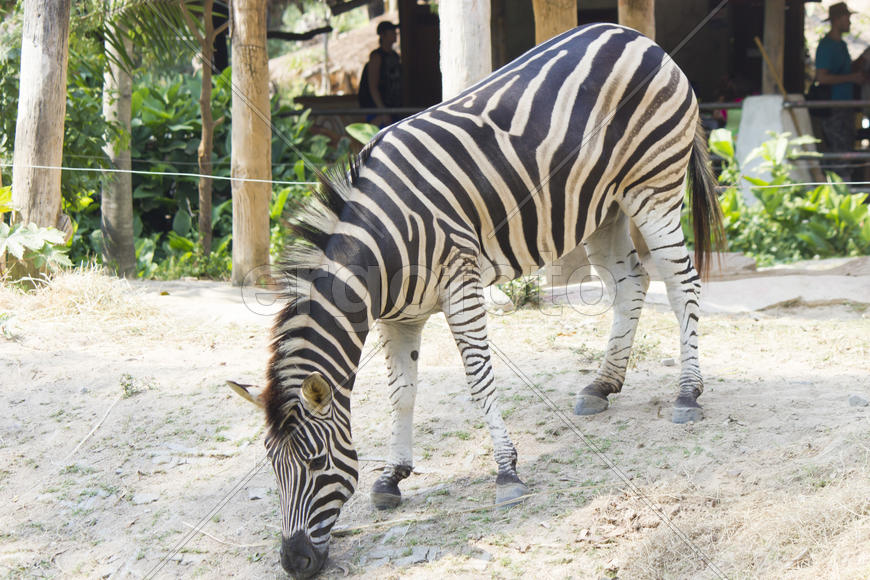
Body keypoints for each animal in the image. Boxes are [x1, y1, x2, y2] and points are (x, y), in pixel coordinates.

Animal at [229, 23, 724, 579]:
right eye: (274, 467)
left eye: (315, 464)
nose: (294, 562)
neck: (381, 249)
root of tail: (634, 35)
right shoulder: (399, 318)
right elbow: (403, 393)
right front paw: (392, 477)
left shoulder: (460, 285)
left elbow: (479, 379)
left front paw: (507, 473)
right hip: (603, 206)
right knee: (630, 284)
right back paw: (602, 385)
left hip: (654, 187)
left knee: (682, 283)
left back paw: (687, 393)